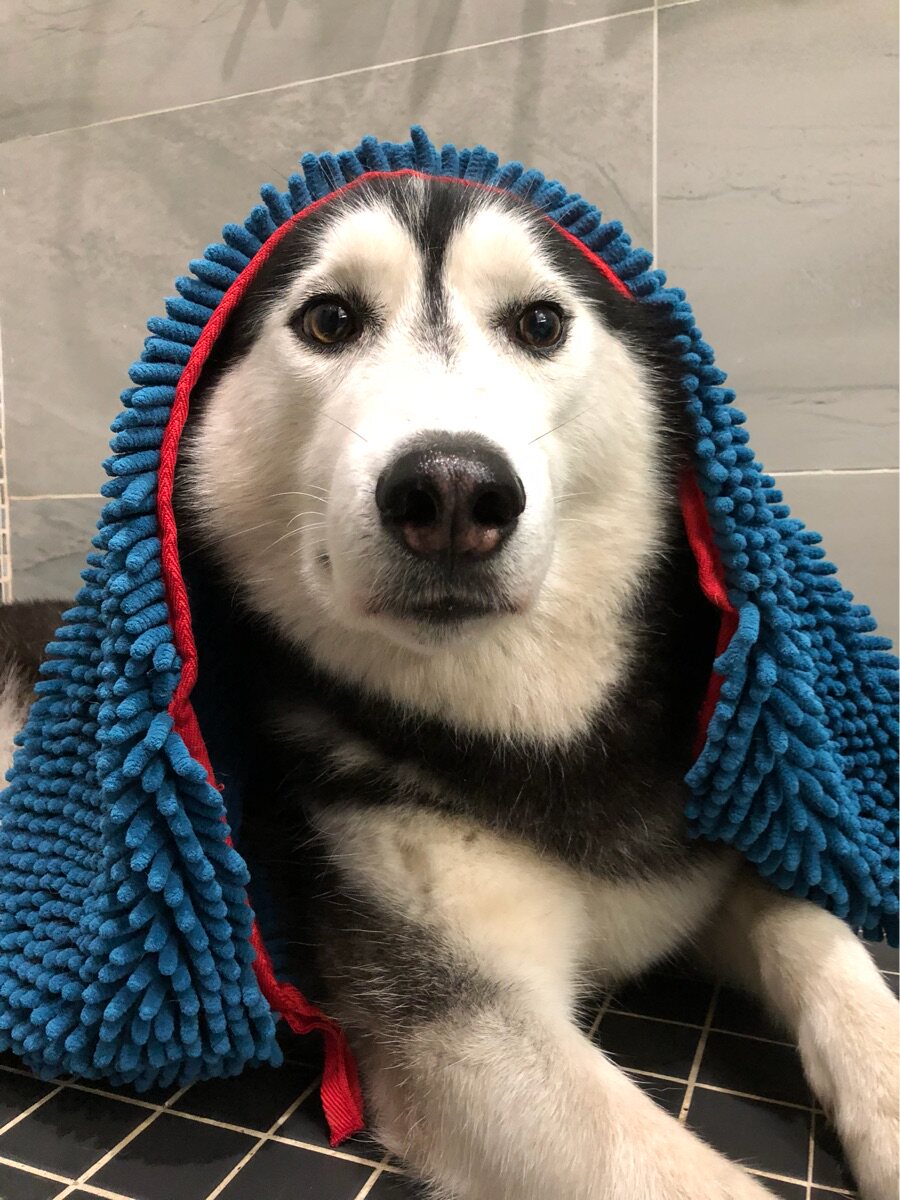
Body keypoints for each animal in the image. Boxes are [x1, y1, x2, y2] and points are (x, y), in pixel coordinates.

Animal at [2, 173, 896, 1199]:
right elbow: (662, 1169)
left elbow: (819, 932)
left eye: (542, 322)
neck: (535, 733)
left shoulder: (717, 846)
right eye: (329, 319)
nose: (454, 492)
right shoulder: (455, 1010)